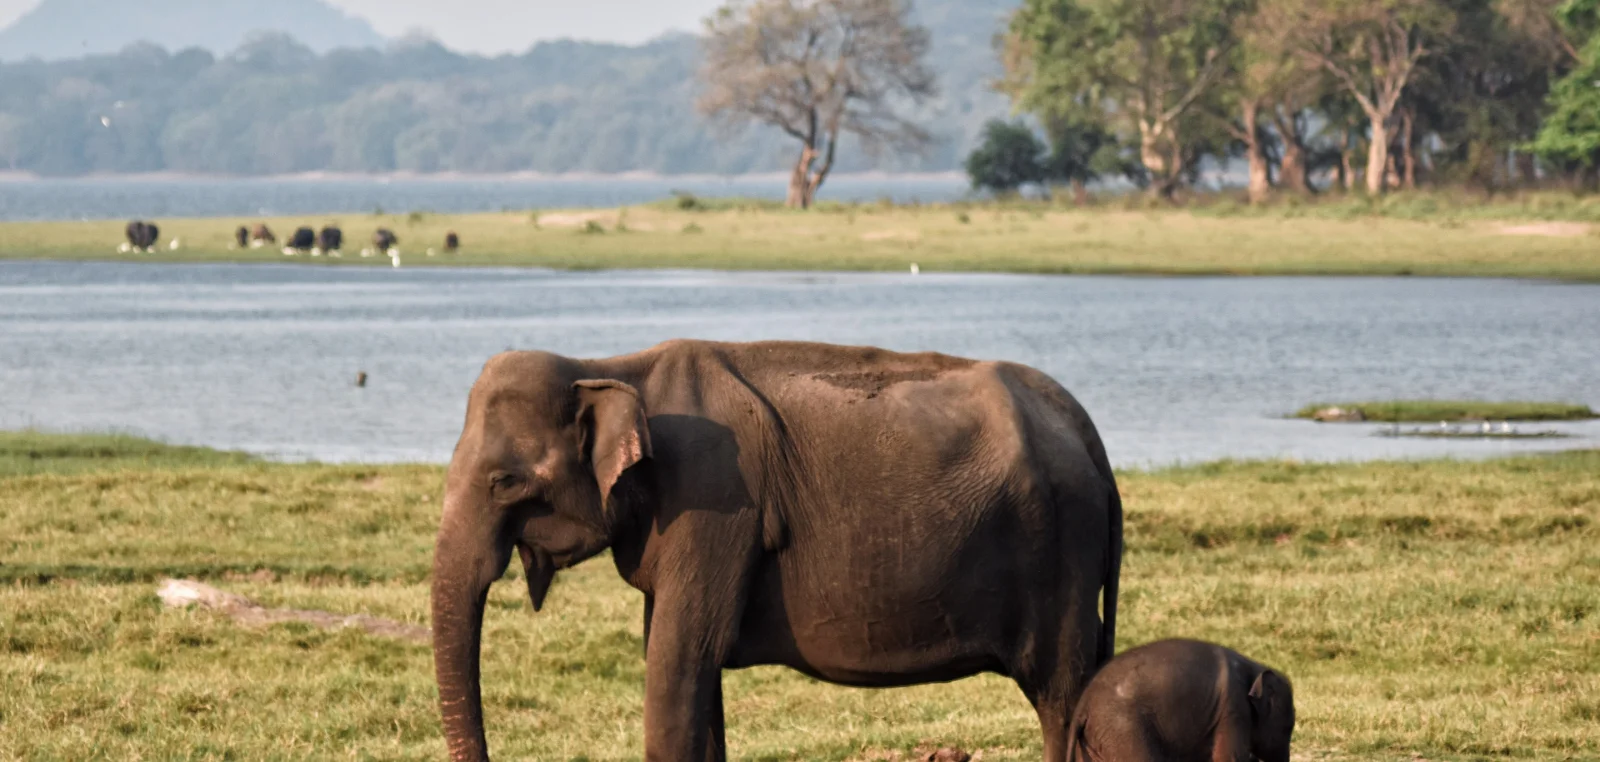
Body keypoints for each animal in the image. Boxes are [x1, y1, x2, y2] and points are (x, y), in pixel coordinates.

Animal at [431, 340, 1123, 761]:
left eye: (504, 482)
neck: (615, 367)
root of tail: (1087, 430)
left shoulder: (714, 503)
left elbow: (678, 664)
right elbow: (692, 670)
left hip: (1061, 548)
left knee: (1061, 696)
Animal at [1066, 639, 1295, 762]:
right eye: (1288, 729)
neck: (1254, 667)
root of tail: (1083, 704)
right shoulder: (1233, 710)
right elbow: (1228, 757)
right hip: (1123, 729)